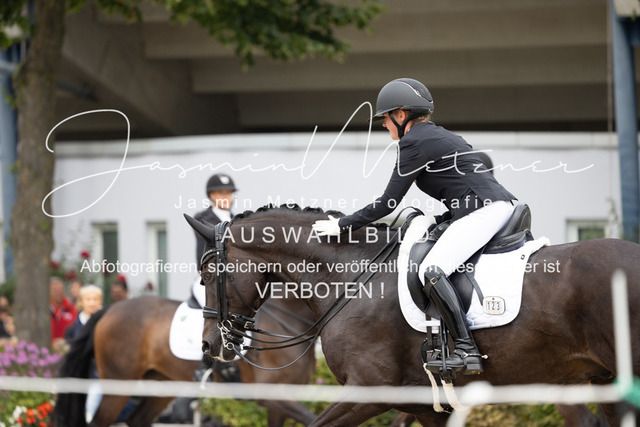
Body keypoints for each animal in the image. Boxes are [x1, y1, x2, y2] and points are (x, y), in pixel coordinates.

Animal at [53, 294, 318, 427]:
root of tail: (110, 309)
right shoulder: (273, 395)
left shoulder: (281, 400)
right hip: (119, 384)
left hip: (162, 382)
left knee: (138, 419)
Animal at [186, 204, 640, 426]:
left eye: (207, 273)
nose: (208, 344)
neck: (352, 275)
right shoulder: (425, 407)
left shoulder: (368, 392)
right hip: (607, 382)